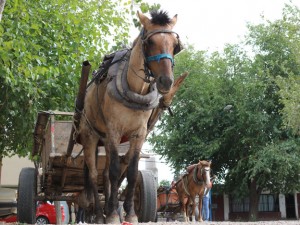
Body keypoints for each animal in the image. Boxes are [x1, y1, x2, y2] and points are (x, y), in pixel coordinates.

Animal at [77, 10, 185, 223]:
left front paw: (131, 213)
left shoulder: (139, 134)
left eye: (175, 45)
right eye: (149, 42)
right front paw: (111, 214)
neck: (135, 91)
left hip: (107, 140)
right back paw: (98, 213)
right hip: (90, 136)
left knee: (105, 174)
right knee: (94, 175)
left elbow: (132, 173)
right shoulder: (114, 130)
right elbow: (114, 171)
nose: (166, 81)